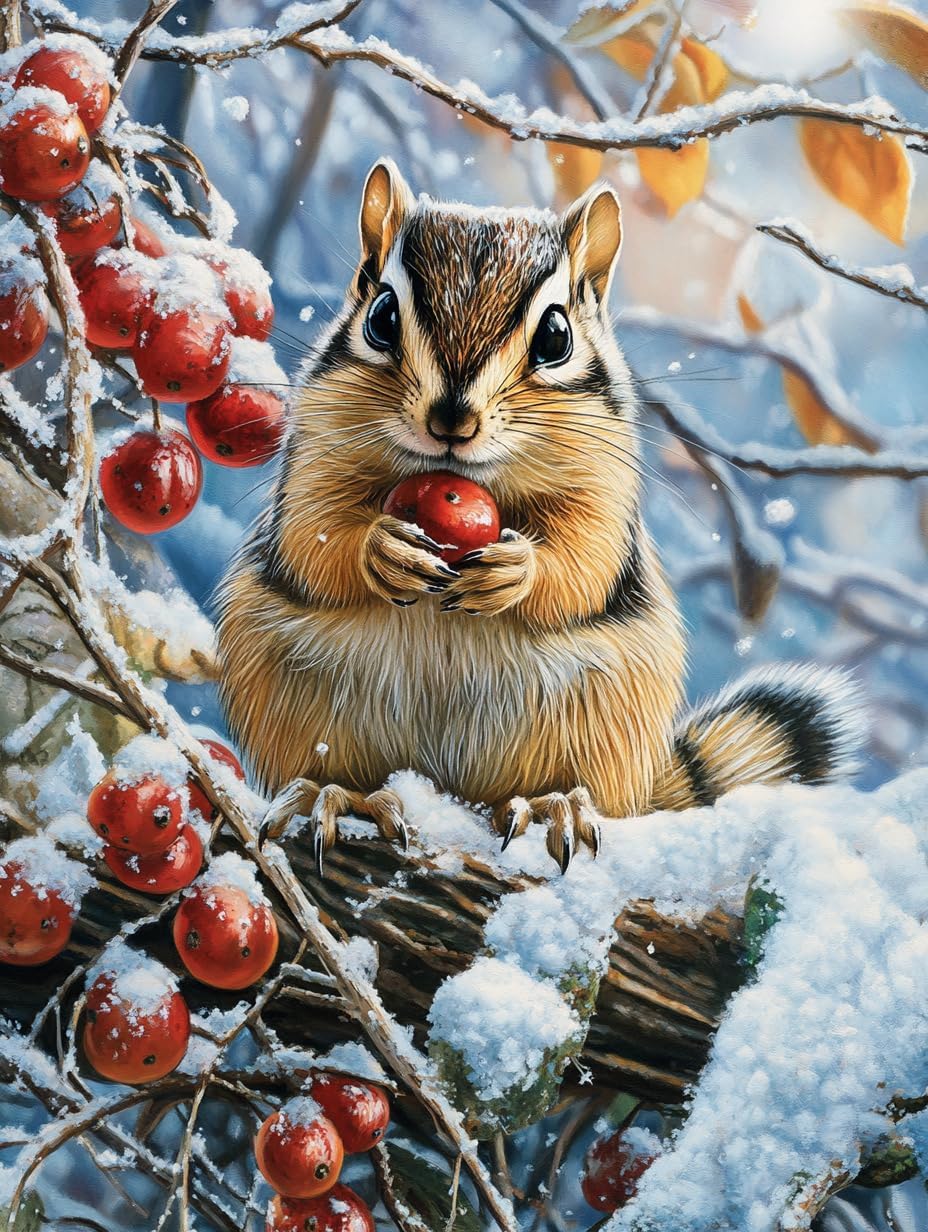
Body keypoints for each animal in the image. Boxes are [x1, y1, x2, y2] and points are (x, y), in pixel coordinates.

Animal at [216, 159, 863, 873]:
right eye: (381, 316)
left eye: (556, 335)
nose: (452, 420)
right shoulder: (312, 455)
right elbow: (316, 534)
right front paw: (383, 550)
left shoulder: (606, 486)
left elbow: (582, 560)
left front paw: (515, 570)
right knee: (348, 772)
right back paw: (338, 796)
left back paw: (546, 805)